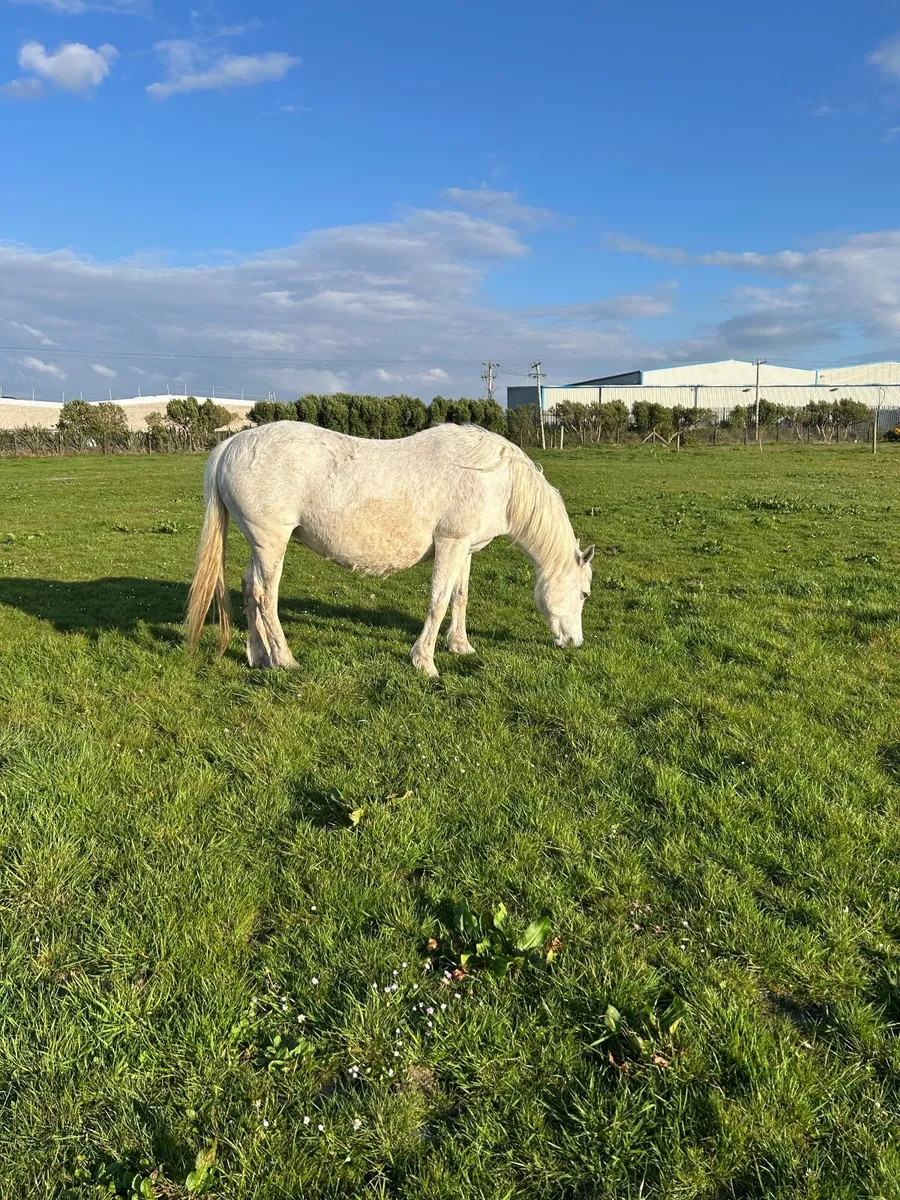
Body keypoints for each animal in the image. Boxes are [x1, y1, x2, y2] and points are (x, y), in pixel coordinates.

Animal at [185, 421, 594, 676]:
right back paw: (284, 660)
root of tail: (232, 445)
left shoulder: (465, 548)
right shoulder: (451, 543)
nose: (575, 642)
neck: (496, 479)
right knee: (265, 596)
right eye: (585, 594)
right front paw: (425, 662)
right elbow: (438, 601)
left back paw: (258, 656)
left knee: (248, 589)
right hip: (272, 543)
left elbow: (459, 597)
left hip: (260, 545)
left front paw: (460, 646)